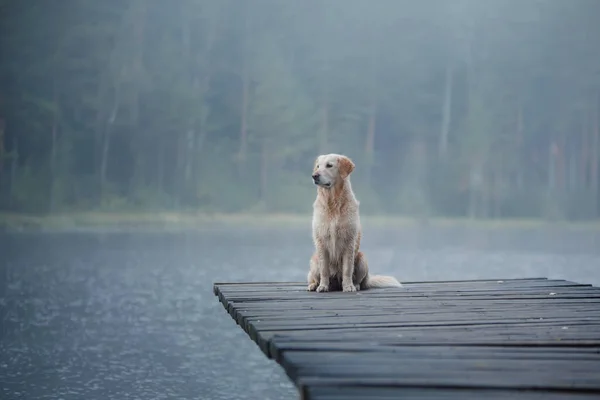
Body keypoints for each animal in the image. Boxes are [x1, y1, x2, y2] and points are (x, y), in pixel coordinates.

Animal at [308, 155, 400, 292]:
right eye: (318, 166)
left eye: (329, 165)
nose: (314, 176)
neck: (333, 202)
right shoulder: (321, 241)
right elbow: (324, 269)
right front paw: (323, 286)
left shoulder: (349, 241)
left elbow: (347, 269)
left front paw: (348, 286)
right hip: (314, 261)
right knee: (314, 276)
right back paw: (314, 285)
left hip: (362, 258)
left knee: (360, 280)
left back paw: (355, 285)